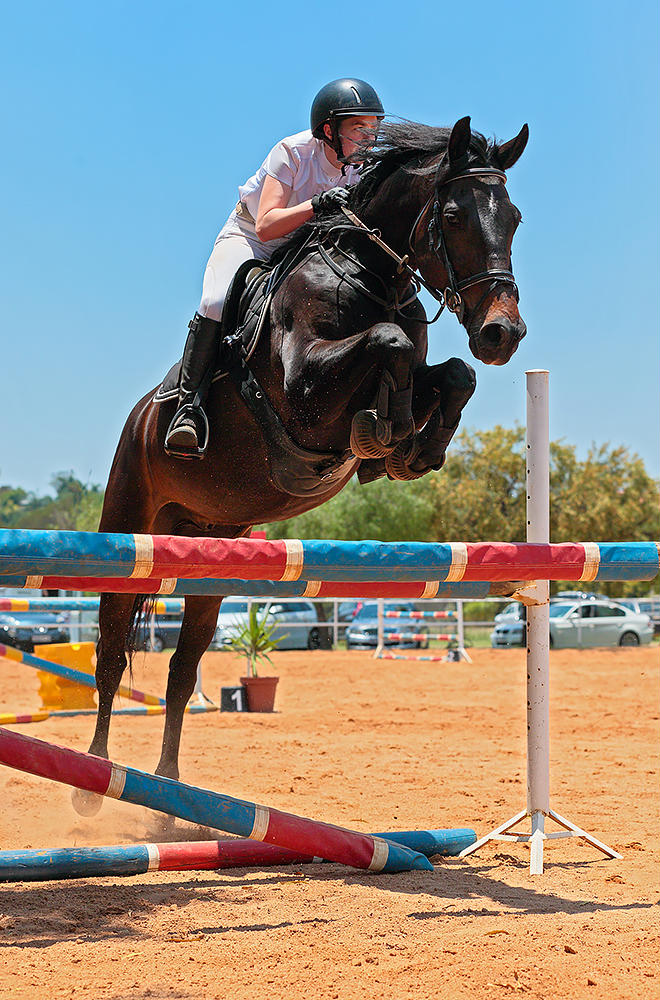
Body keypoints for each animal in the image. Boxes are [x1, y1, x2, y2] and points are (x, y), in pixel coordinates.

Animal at [82, 115, 528, 795]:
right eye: (452, 215)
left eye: (516, 217)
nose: (503, 334)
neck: (371, 277)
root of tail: (140, 417)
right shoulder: (303, 394)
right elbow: (390, 343)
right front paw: (387, 431)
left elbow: (452, 374)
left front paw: (407, 449)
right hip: (129, 523)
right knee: (110, 652)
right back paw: (97, 779)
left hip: (214, 553)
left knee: (182, 670)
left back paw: (165, 790)